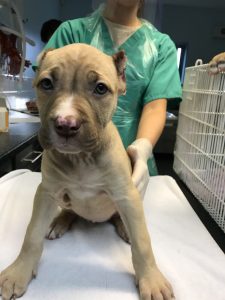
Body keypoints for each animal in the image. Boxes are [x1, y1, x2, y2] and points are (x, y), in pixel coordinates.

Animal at [0, 44, 174, 300]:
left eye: (100, 88)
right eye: (46, 84)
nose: (65, 124)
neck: (82, 159)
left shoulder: (126, 193)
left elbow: (143, 242)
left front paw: (151, 280)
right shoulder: (47, 192)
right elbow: (32, 234)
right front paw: (18, 272)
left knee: (122, 218)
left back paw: (124, 226)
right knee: (70, 210)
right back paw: (59, 221)